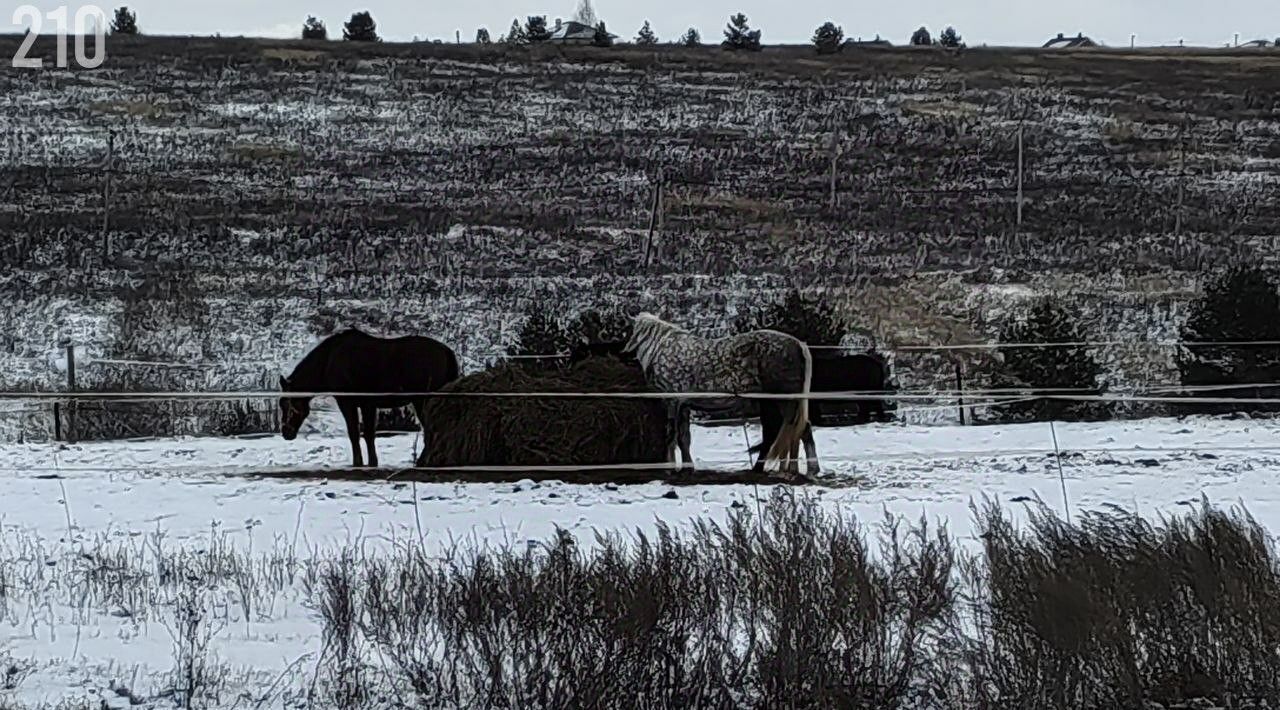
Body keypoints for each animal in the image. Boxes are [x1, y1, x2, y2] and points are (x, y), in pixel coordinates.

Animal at [277, 330, 463, 473]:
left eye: (285, 403)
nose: (286, 432)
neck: (329, 359)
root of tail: (445, 351)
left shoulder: (349, 403)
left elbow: (355, 433)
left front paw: (359, 463)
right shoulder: (369, 405)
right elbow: (368, 434)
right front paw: (372, 462)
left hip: (423, 400)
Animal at [622, 312, 819, 475]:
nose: (624, 353)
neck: (663, 350)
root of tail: (799, 345)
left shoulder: (672, 402)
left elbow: (671, 435)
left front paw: (669, 467)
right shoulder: (684, 405)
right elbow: (684, 438)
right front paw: (687, 467)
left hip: (785, 401)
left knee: (796, 430)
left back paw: (799, 468)